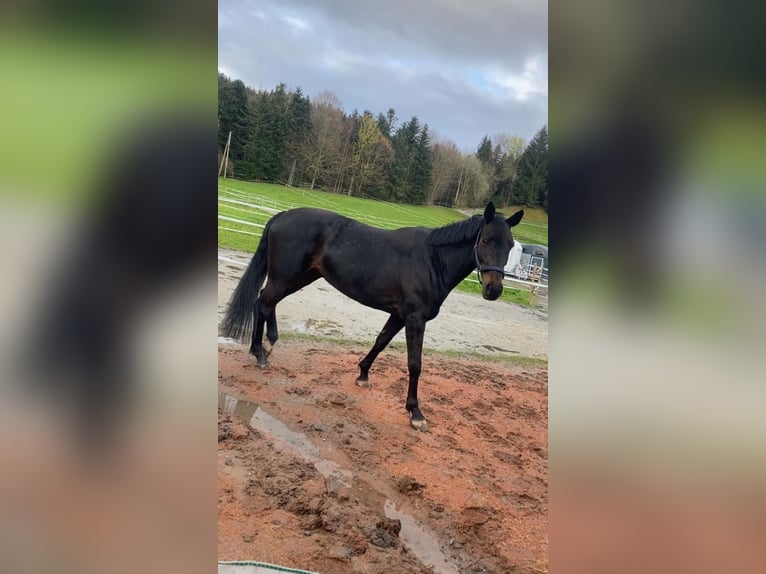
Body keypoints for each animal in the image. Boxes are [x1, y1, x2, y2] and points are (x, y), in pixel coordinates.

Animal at [219, 202, 524, 432]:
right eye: (485, 240)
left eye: (510, 244)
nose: (494, 289)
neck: (431, 259)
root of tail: (283, 215)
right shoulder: (415, 319)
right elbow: (415, 364)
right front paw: (416, 413)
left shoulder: (399, 316)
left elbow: (380, 342)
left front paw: (363, 375)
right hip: (286, 276)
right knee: (263, 302)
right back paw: (259, 353)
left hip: (300, 276)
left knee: (267, 303)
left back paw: (268, 345)